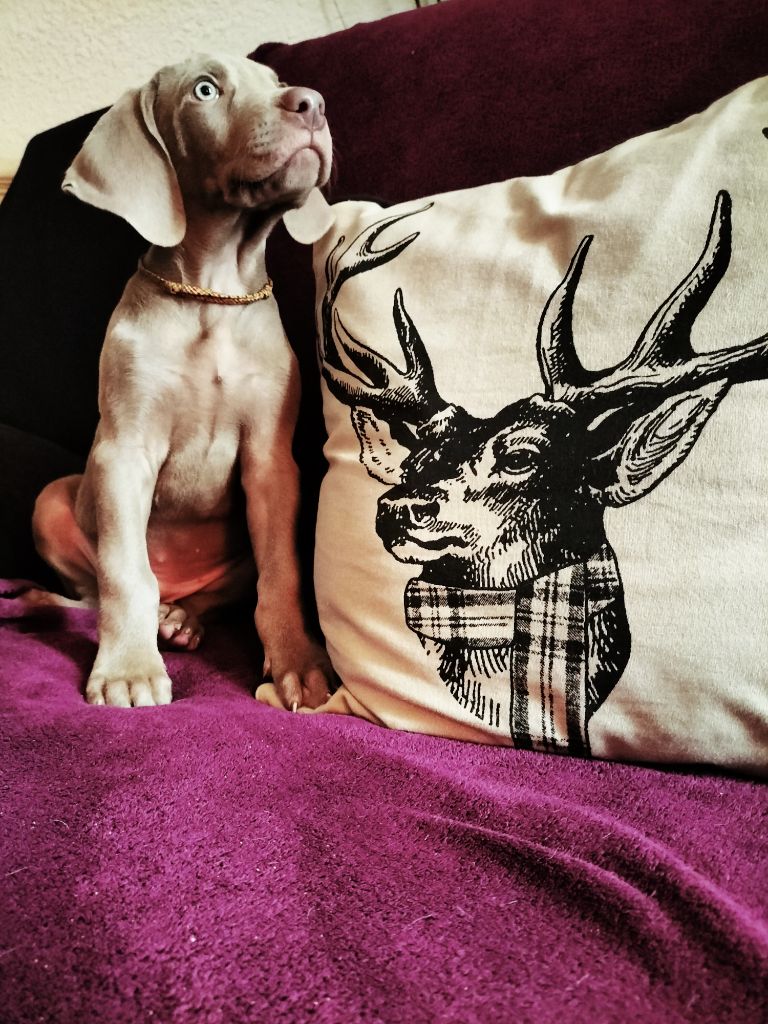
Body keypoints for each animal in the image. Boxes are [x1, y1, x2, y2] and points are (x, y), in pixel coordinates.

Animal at [31, 54, 334, 711]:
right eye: (205, 90)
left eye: (276, 81)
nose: (313, 104)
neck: (210, 296)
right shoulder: (124, 451)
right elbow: (124, 572)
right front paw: (127, 670)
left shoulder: (272, 464)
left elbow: (282, 575)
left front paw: (299, 663)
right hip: (54, 499)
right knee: (98, 591)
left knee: (221, 593)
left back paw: (183, 618)